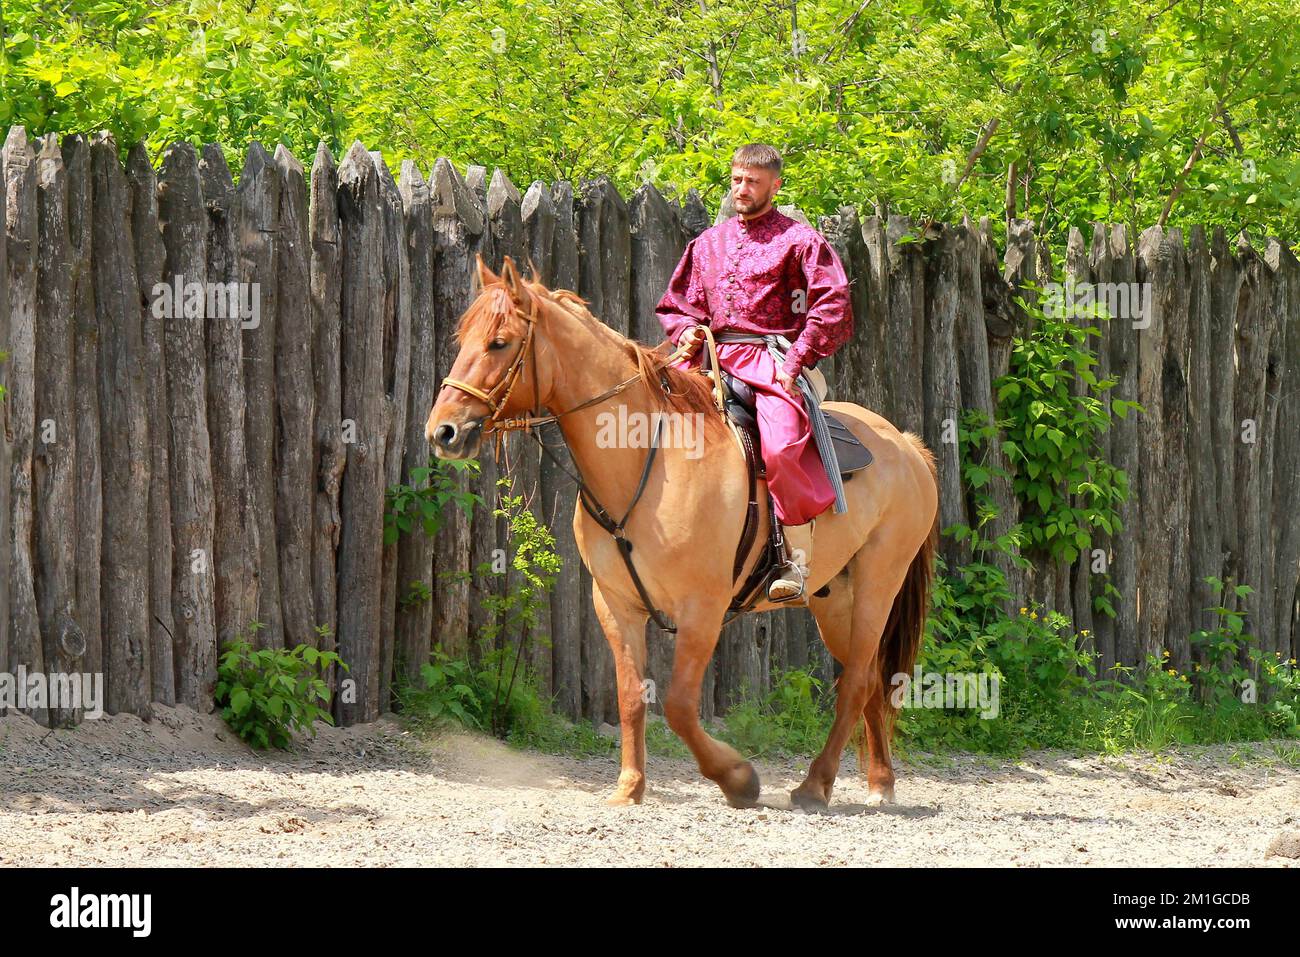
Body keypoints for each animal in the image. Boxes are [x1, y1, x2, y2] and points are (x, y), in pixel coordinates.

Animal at [426, 254, 935, 806]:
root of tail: (907, 446)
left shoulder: (702, 610)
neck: (646, 460)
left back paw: (815, 784)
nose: (443, 431)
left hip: (877, 586)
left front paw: (738, 778)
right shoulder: (616, 606)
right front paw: (629, 788)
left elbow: (679, 706)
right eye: (462, 339)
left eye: (499, 342)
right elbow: (631, 697)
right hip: (833, 597)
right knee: (869, 681)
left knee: (858, 681)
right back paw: (880, 782)